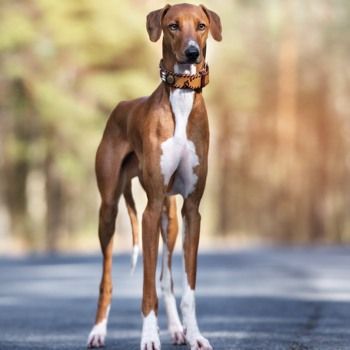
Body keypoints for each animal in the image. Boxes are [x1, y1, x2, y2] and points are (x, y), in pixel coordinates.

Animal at [87, 3, 221, 350]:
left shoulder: (191, 210)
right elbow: (147, 289)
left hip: (169, 218)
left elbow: (185, 286)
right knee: (107, 277)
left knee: (166, 278)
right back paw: (98, 331)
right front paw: (149, 337)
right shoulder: (149, 210)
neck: (182, 100)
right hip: (109, 210)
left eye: (201, 26)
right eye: (173, 26)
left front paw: (195, 334)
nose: (192, 53)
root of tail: (122, 106)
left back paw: (176, 329)